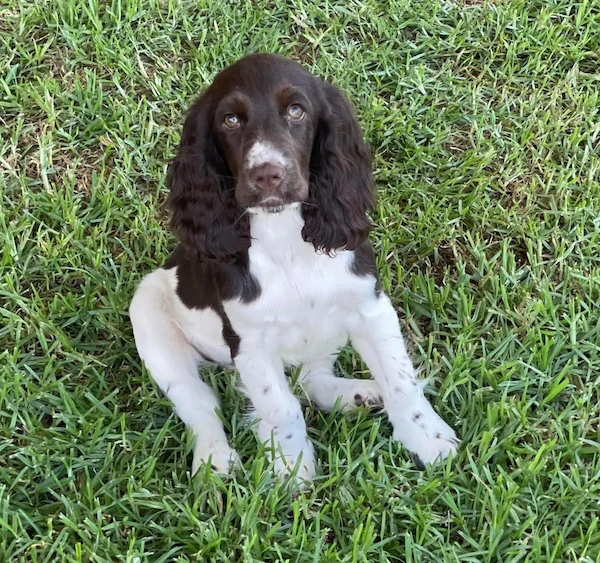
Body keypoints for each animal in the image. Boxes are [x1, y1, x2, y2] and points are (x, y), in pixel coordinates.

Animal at [130, 54, 460, 484]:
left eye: (296, 111)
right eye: (230, 120)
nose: (267, 174)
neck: (284, 236)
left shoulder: (370, 307)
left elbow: (401, 380)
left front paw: (428, 440)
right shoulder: (249, 343)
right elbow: (279, 405)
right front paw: (291, 469)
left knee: (310, 378)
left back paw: (360, 394)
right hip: (149, 315)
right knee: (200, 402)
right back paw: (214, 459)